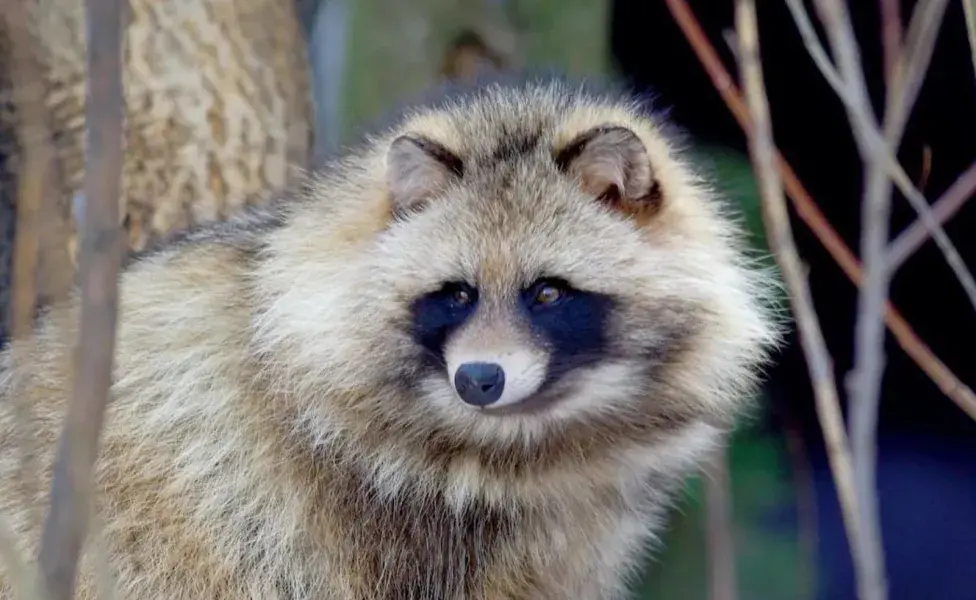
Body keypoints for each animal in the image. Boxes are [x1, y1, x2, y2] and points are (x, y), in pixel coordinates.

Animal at [0, 77, 780, 596]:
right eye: (457, 294)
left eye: (548, 292)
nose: (479, 380)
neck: (520, 444)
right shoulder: (337, 518)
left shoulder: (560, 544)